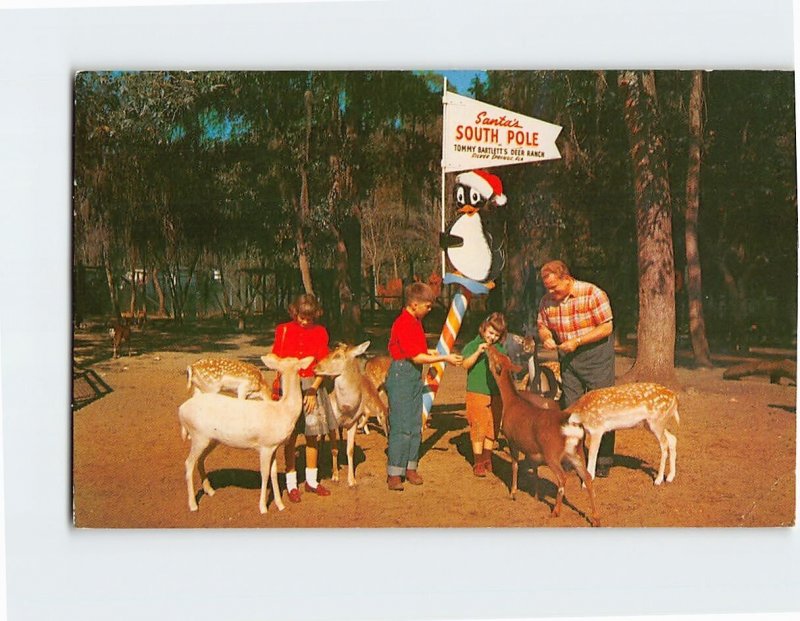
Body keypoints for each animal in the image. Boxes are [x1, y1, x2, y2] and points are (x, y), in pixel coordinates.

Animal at [482, 344, 600, 524]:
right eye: (502, 356)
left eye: (495, 357)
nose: (489, 346)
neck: (511, 403)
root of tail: (573, 428)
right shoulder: (532, 450)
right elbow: (535, 469)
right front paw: (536, 495)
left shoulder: (512, 439)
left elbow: (515, 465)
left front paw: (513, 493)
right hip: (577, 452)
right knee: (587, 476)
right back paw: (595, 518)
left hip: (552, 453)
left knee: (562, 477)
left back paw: (555, 511)